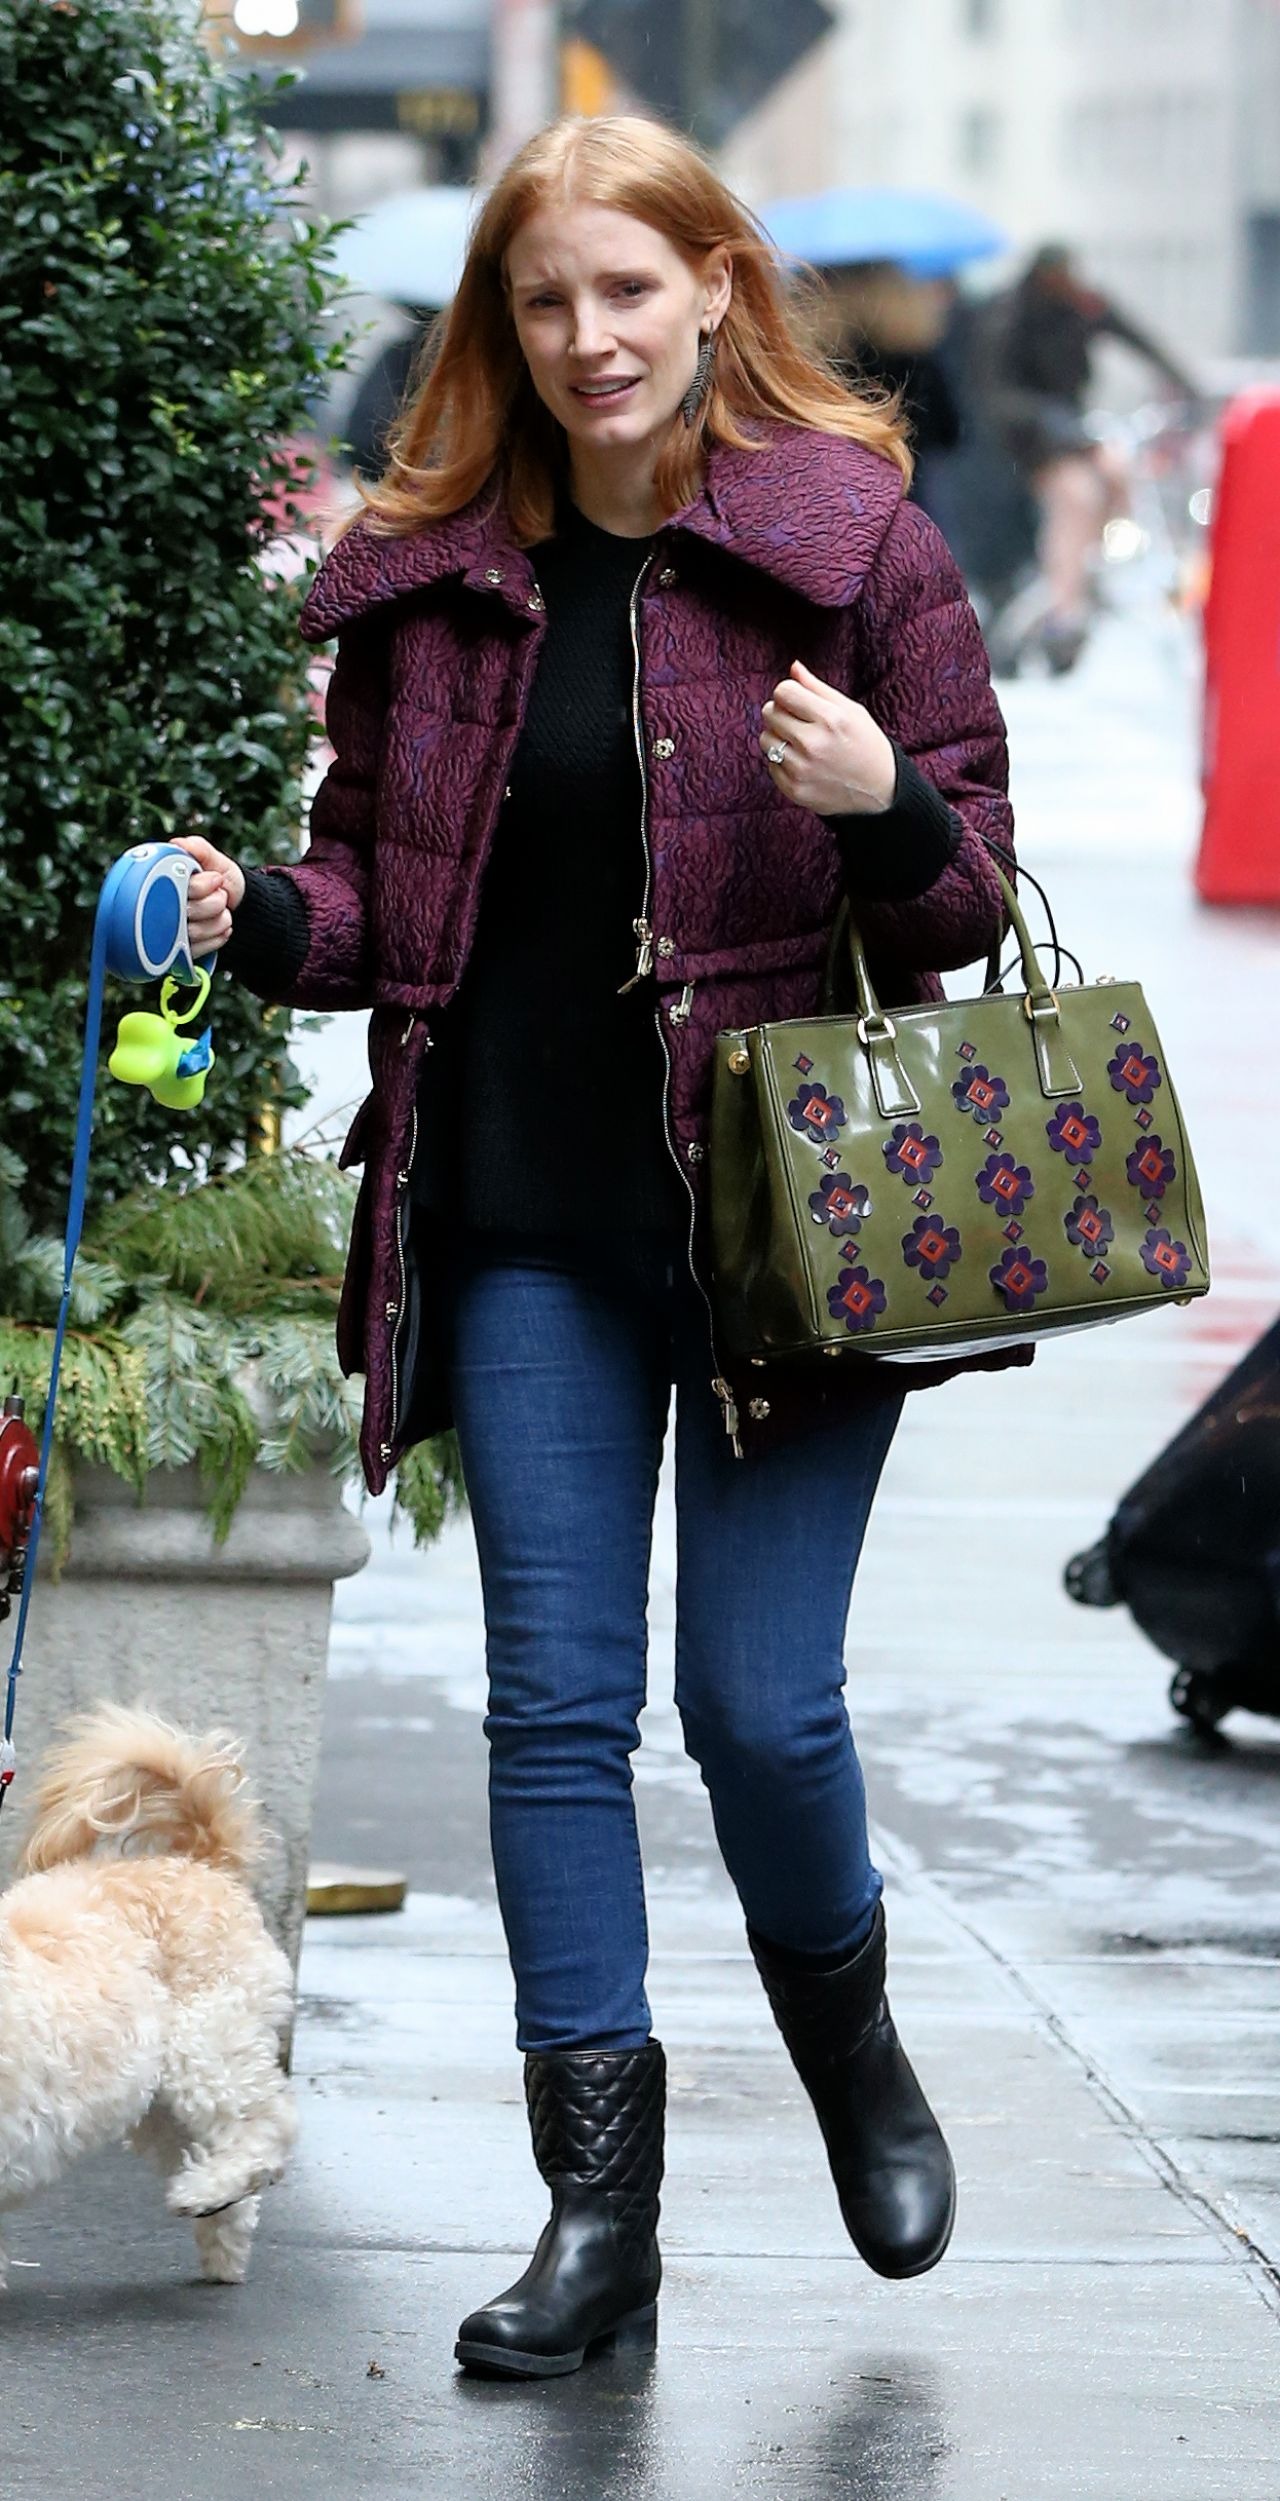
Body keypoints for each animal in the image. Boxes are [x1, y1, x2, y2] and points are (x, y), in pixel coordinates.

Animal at [0, 1700, 297, 2290]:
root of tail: (200, 1861)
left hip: (207, 2045)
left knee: (268, 2124)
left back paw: (205, 2192)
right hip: (156, 2104)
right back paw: (222, 2241)